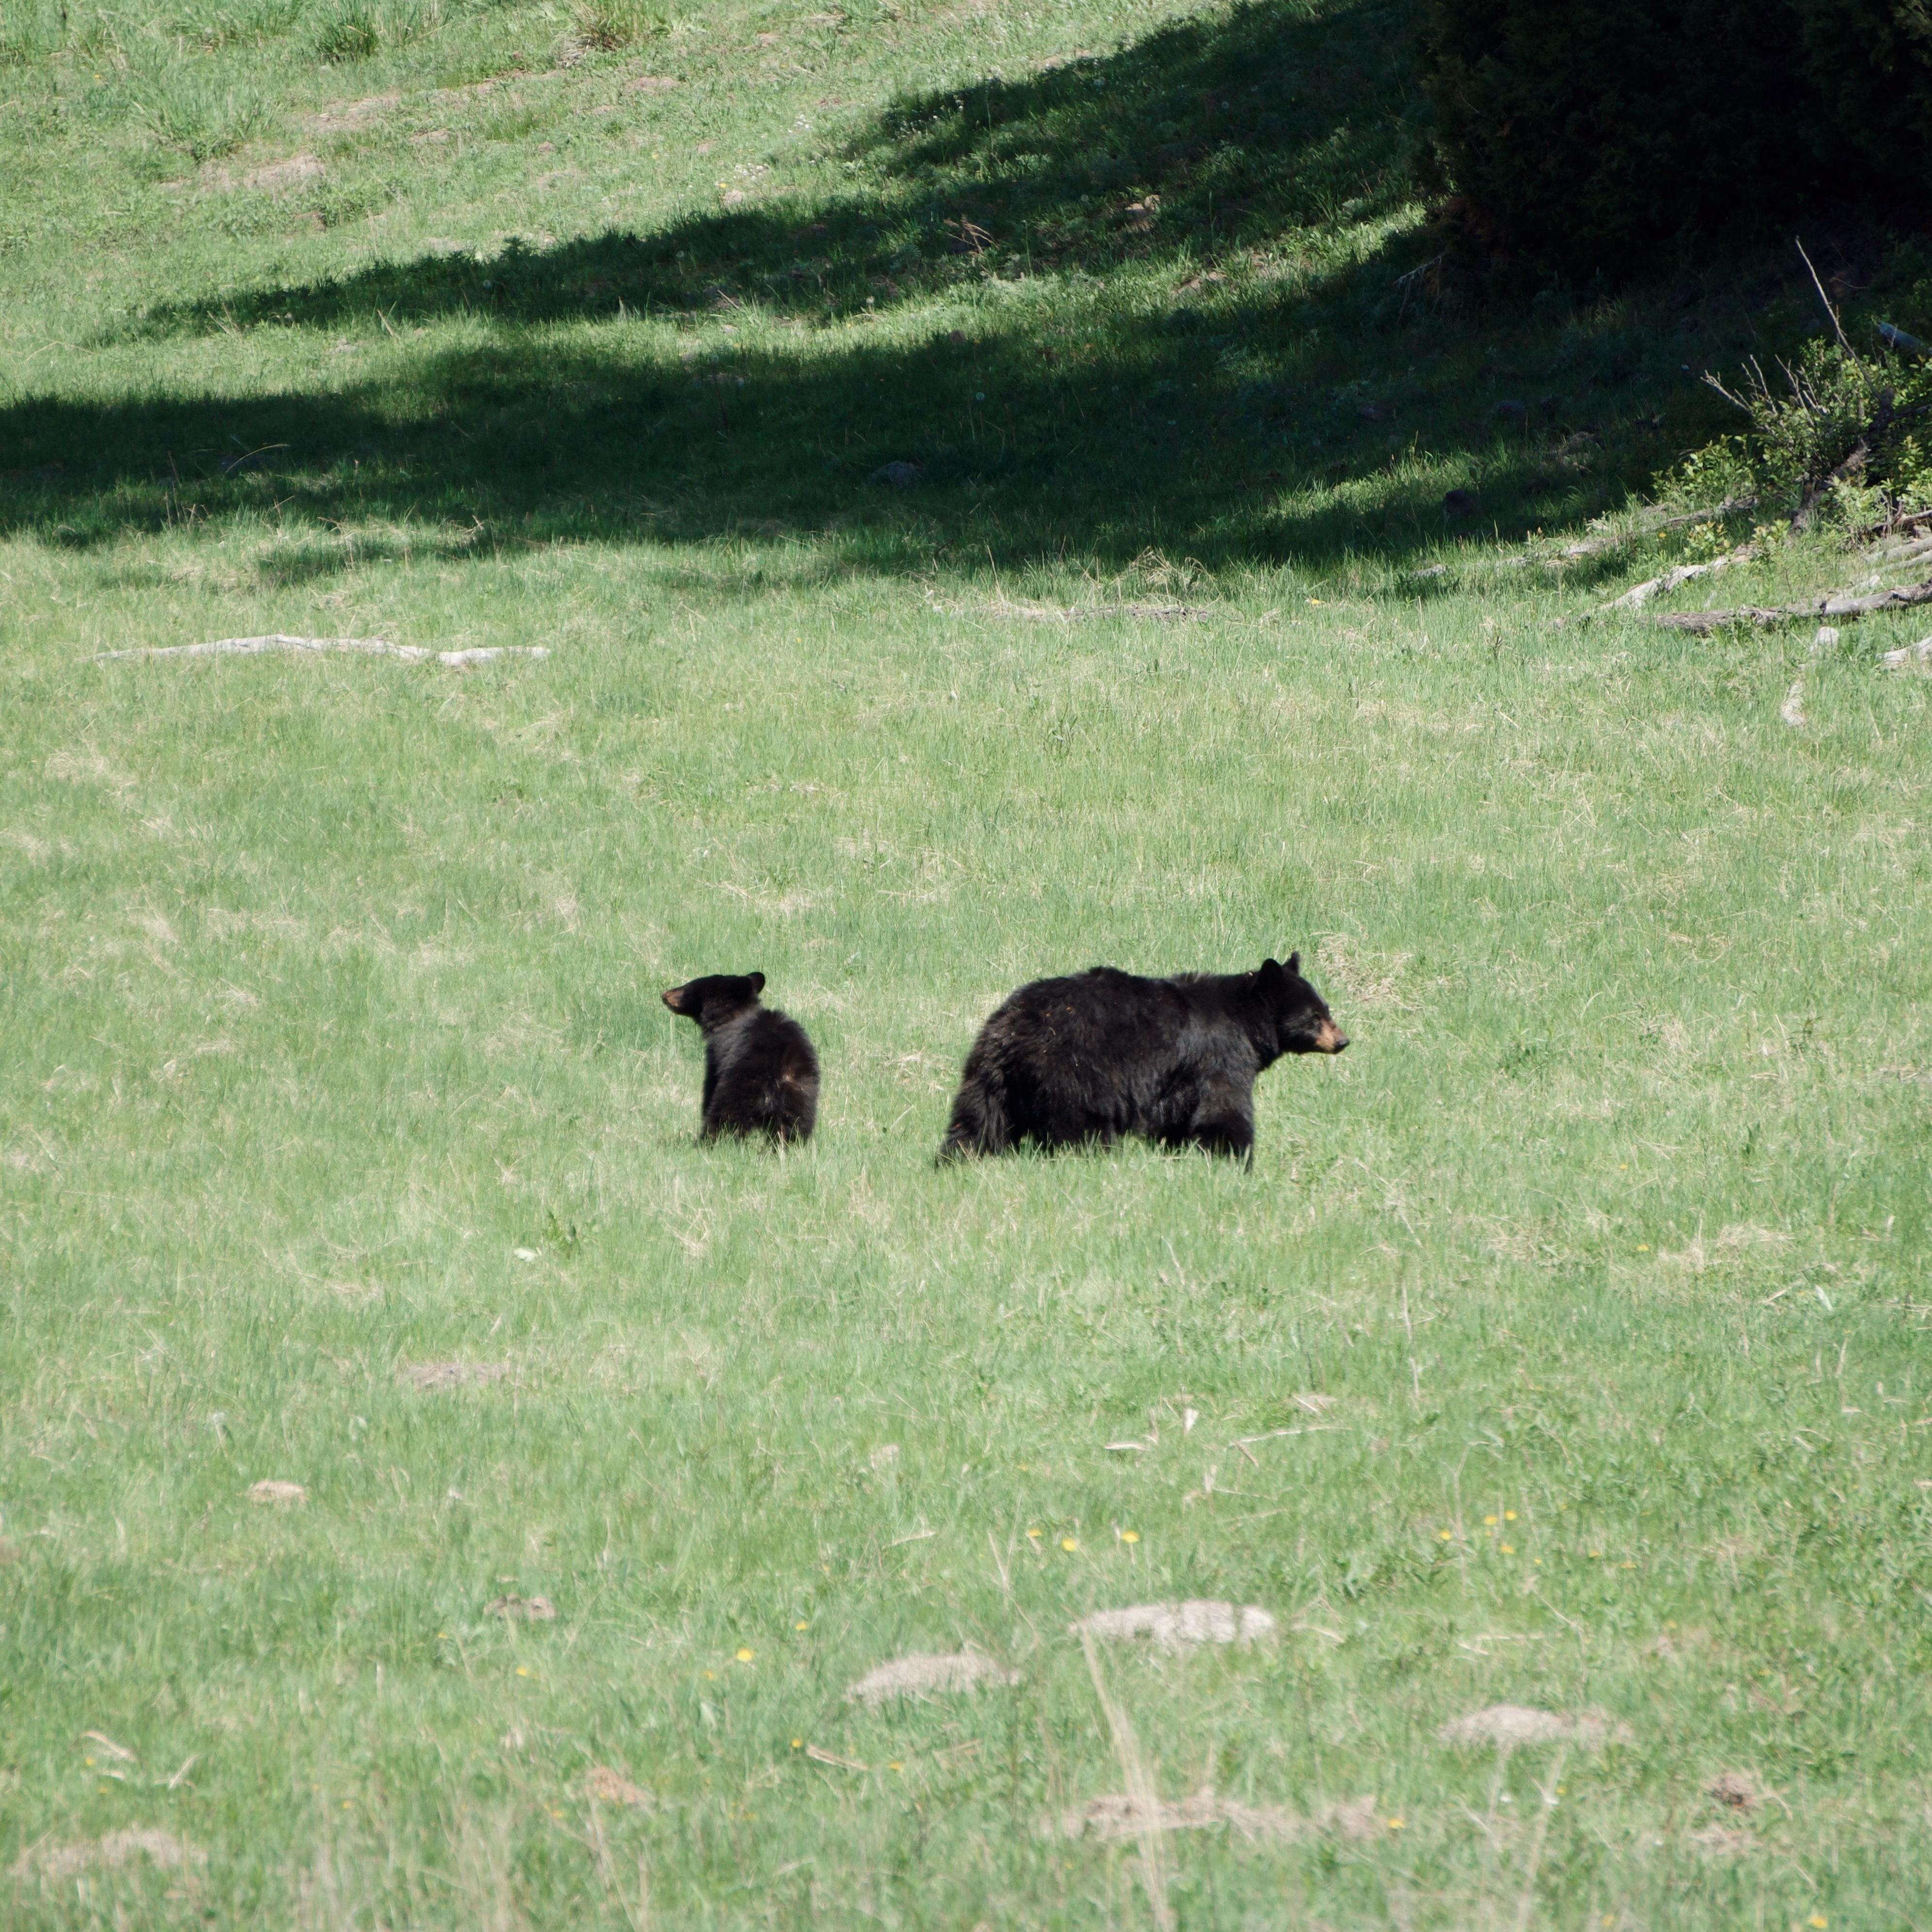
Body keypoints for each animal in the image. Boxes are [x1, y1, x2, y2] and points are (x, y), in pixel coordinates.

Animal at [661, 972, 820, 1144]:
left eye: (688, 988)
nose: (664, 994)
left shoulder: (716, 1057)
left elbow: (709, 1089)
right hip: (801, 1093)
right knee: (792, 1128)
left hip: (740, 1087)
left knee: (725, 1119)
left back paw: (707, 1142)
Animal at [937, 954, 1345, 1165]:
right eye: (1314, 1016)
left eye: (1326, 1009)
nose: (1343, 1040)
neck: (1243, 1019)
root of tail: (1010, 1029)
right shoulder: (1219, 1056)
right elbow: (1222, 1107)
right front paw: (1230, 1156)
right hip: (1073, 1075)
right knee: (1081, 1130)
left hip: (987, 1079)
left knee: (974, 1124)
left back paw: (960, 1161)